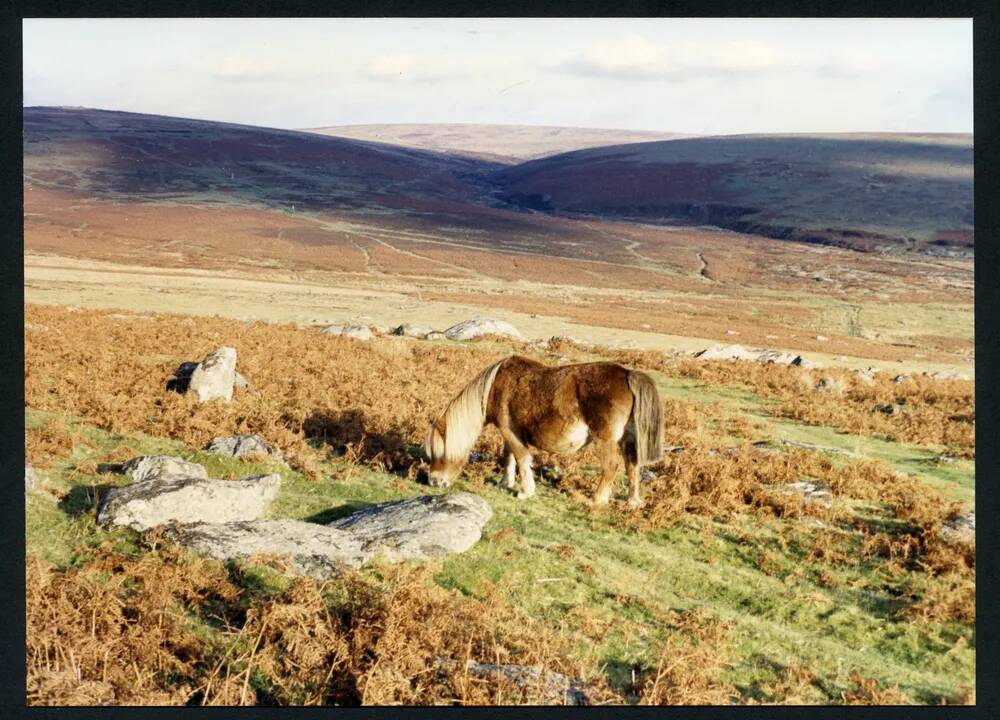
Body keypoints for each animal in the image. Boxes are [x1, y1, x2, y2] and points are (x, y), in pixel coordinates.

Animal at [424, 354, 664, 506]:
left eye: (440, 453)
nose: (434, 482)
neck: (494, 387)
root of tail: (628, 374)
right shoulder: (509, 433)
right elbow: (509, 456)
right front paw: (505, 483)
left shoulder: (510, 431)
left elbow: (521, 457)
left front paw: (525, 491)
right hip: (628, 439)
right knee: (632, 465)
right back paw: (632, 501)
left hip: (605, 440)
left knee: (611, 466)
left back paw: (596, 500)